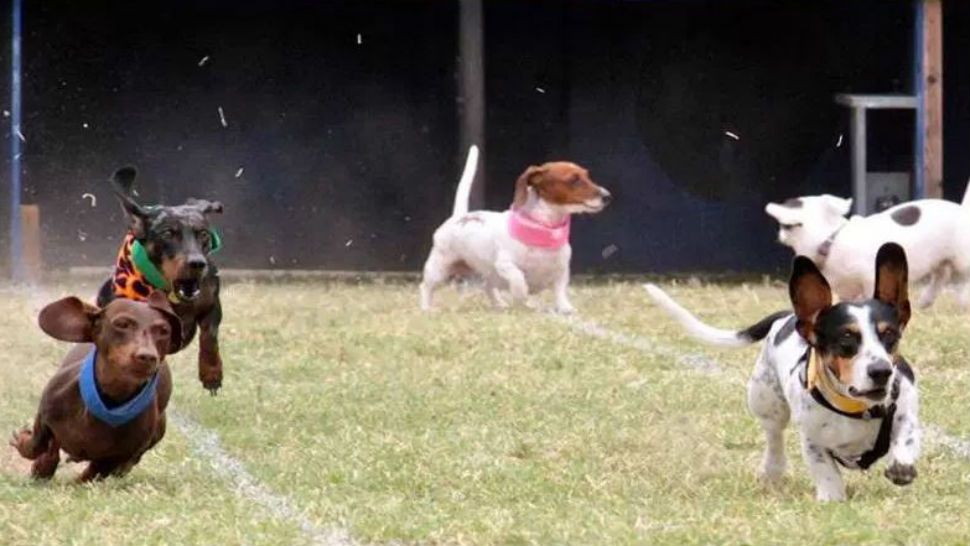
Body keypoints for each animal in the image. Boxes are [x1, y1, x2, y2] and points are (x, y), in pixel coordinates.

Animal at [764, 186, 968, 306]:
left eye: (784, 227)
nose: (779, 236)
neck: (831, 241)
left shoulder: (870, 277)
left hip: (960, 258)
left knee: (959, 278)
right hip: (940, 260)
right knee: (942, 275)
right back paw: (924, 303)